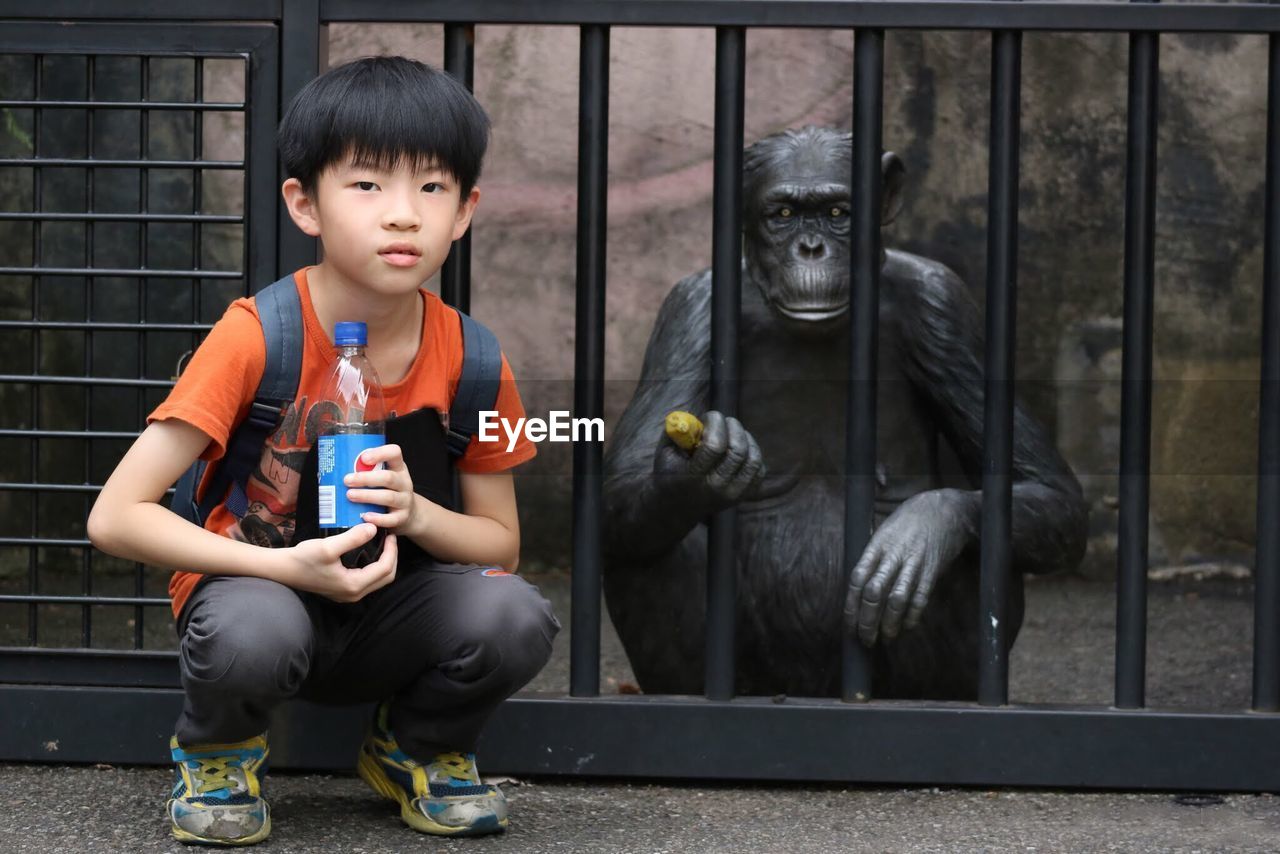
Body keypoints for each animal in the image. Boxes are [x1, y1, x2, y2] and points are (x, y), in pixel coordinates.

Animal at [604, 126, 1085, 701]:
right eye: (783, 214)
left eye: (838, 213)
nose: (811, 249)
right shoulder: (690, 308)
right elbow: (623, 485)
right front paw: (691, 472)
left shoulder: (945, 304)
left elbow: (1047, 491)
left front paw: (922, 528)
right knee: (648, 547)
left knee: (984, 546)